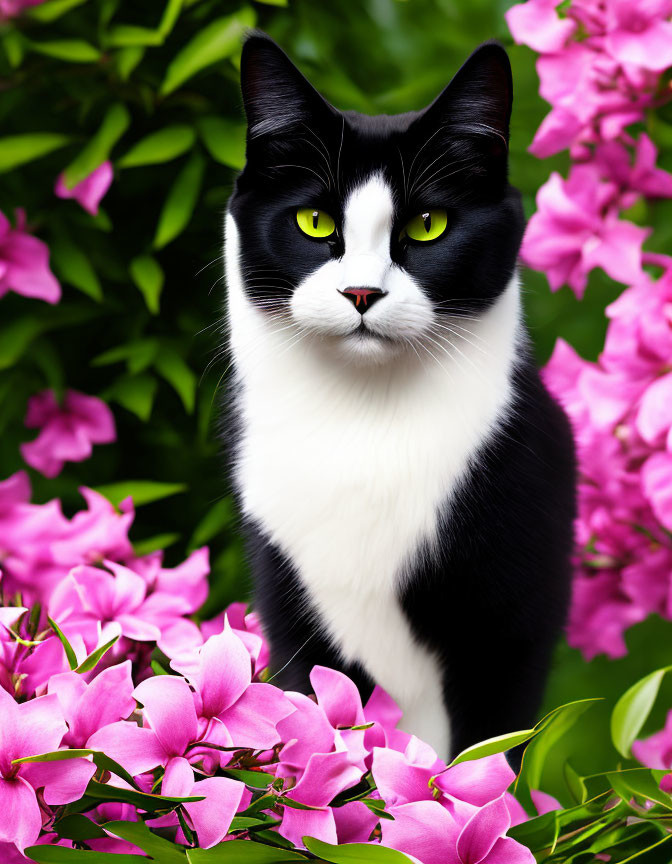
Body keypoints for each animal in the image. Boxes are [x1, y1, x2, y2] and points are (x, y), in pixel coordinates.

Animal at [223, 33, 576, 760]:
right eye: (314, 220)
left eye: (428, 225)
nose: (361, 292)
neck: (365, 421)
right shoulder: (288, 599)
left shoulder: (510, 625)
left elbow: (490, 750)